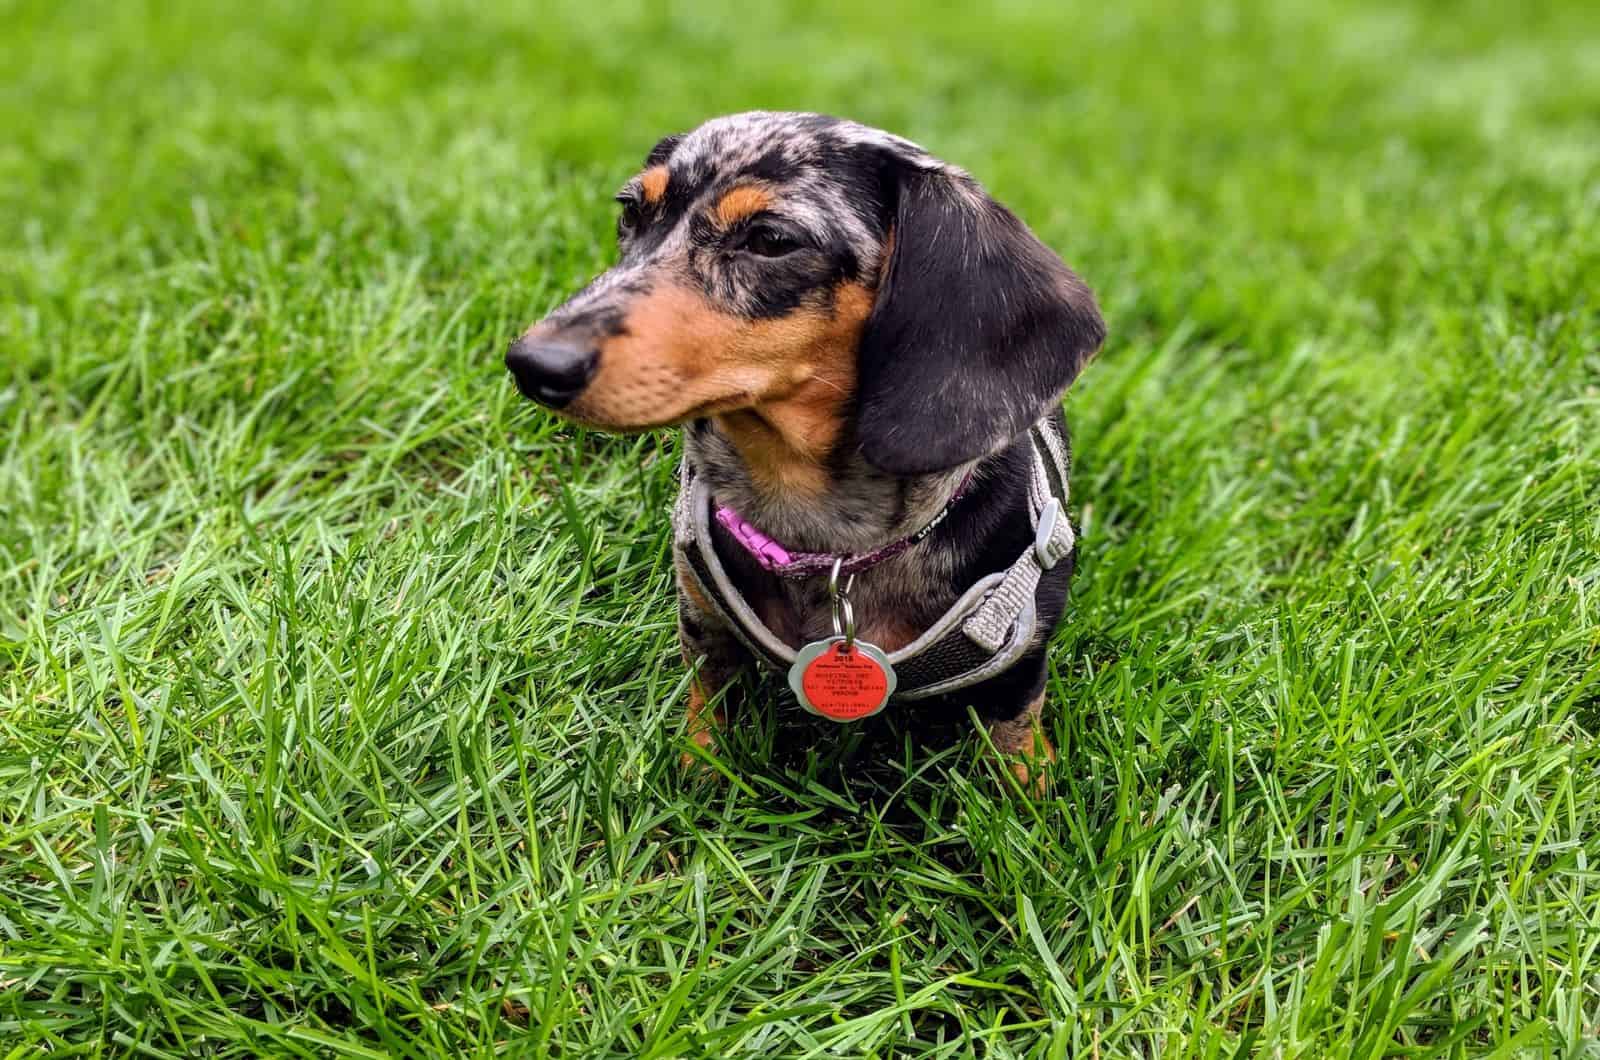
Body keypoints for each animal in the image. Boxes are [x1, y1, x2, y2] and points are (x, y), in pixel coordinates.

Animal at [505, 114, 1107, 787]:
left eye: (770, 239)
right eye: (632, 211)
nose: (533, 364)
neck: (825, 541)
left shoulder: (1019, 658)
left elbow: (1014, 738)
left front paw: (1028, 794)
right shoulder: (704, 623)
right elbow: (707, 702)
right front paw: (699, 773)